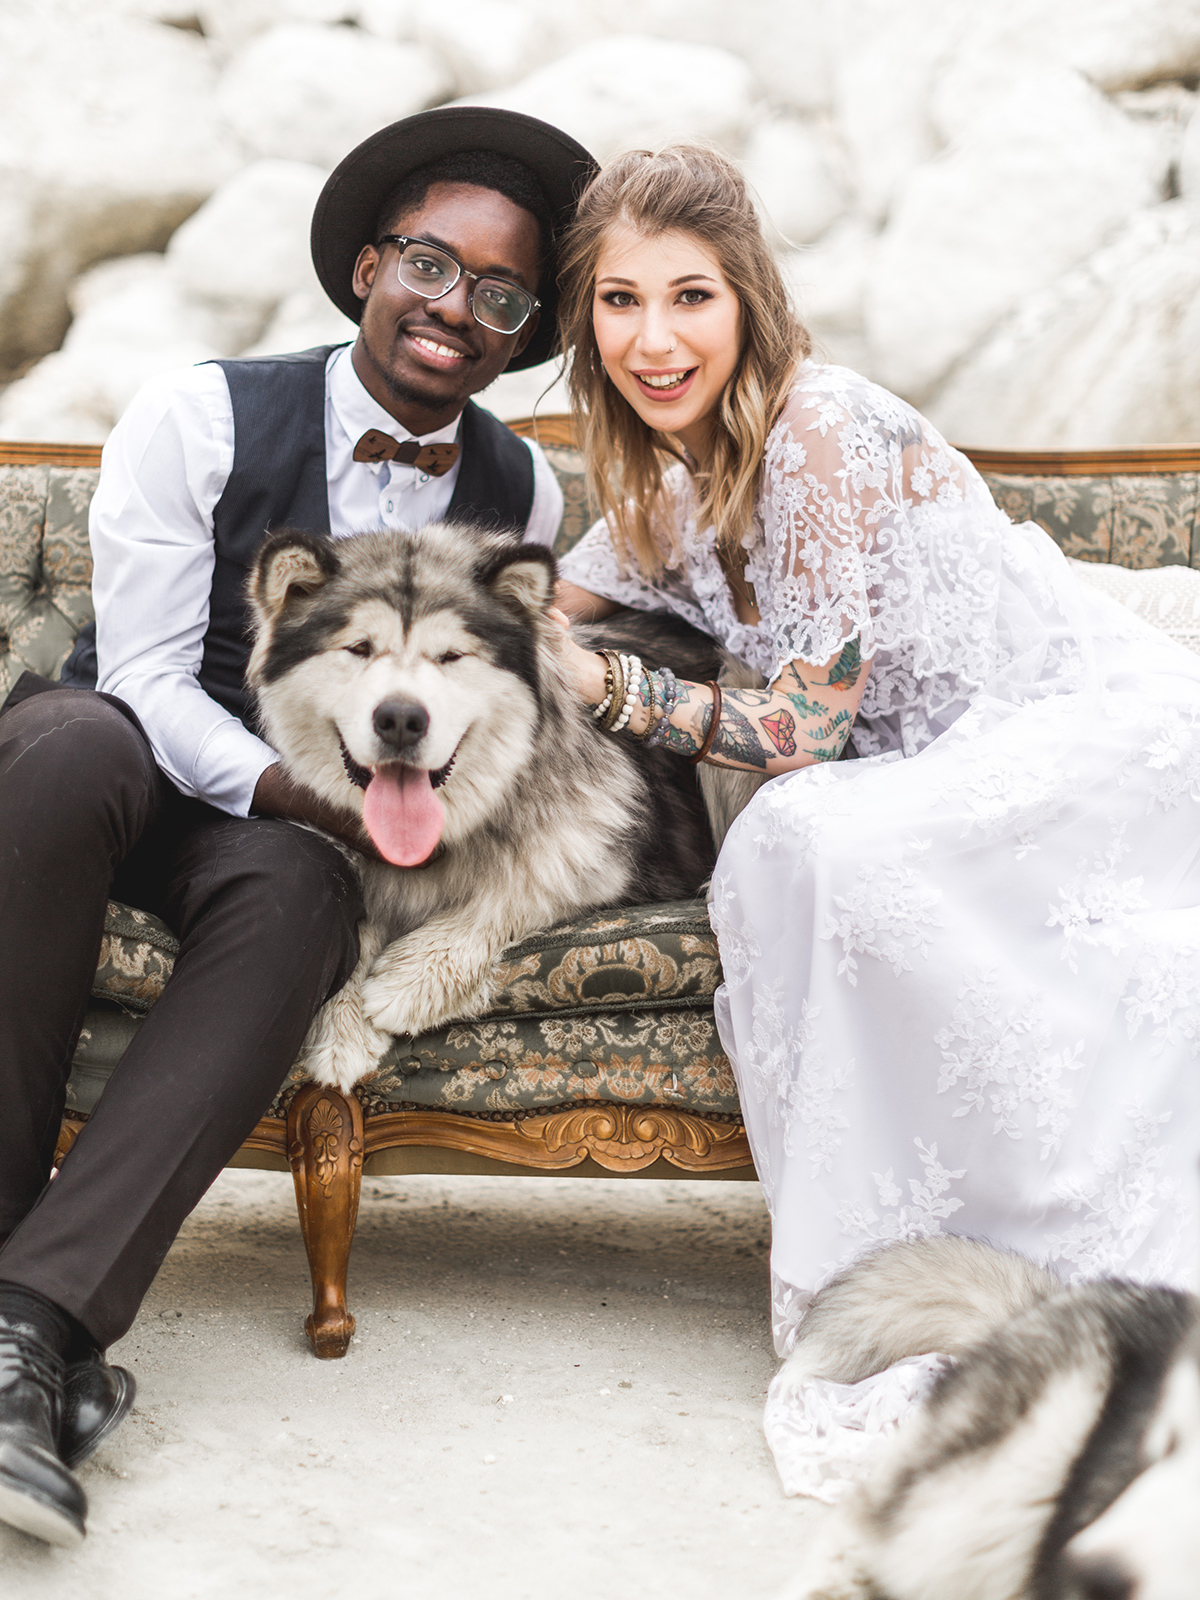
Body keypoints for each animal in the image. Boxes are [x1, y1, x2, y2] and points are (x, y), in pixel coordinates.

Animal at [246, 521, 761, 1091]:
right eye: (359, 648)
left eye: (451, 656)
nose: (401, 719)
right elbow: (356, 923)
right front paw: (342, 1024)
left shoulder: (602, 863)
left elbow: (521, 887)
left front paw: (409, 981)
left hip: (735, 686)